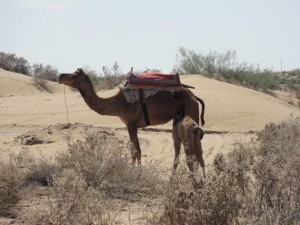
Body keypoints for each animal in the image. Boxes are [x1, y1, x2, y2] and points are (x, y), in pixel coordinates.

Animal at [57, 68, 205, 163]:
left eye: (73, 76)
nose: (60, 76)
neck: (117, 103)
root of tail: (195, 97)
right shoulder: (130, 125)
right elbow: (135, 150)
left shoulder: (131, 124)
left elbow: (136, 151)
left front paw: (137, 174)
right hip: (178, 118)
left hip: (191, 111)